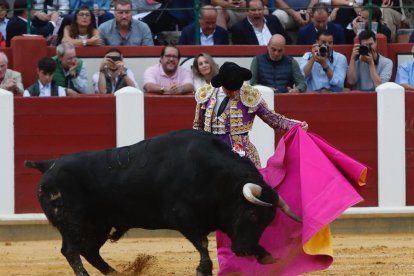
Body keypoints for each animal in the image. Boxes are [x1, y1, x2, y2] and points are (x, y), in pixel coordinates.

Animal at [25, 129, 300, 276]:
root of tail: (49, 165)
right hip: (71, 218)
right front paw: (204, 268)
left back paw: (115, 273)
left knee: (89, 249)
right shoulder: (182, 215)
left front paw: (268, 257)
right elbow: (202, 242)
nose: (244, 250)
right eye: (252, 215)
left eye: (268, 221)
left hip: (98, 223)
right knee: (71, 250)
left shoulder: (219, 217)